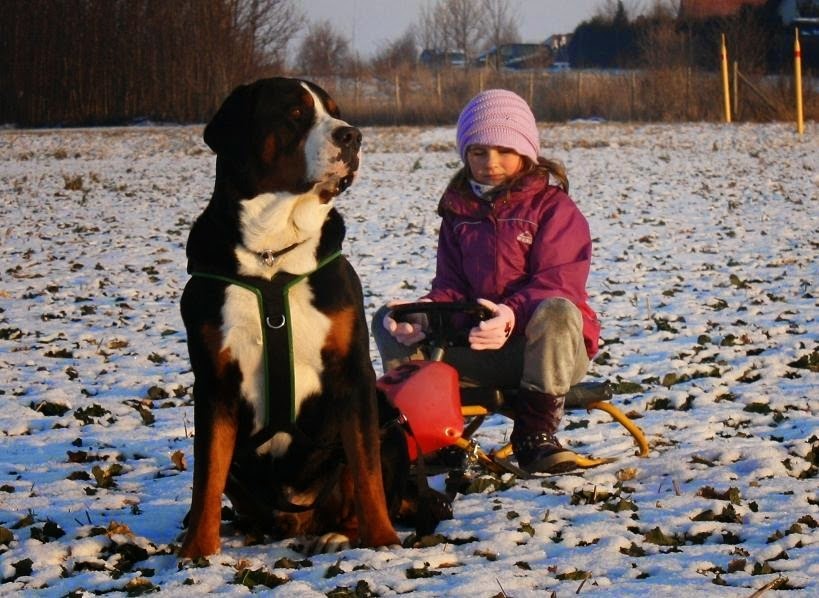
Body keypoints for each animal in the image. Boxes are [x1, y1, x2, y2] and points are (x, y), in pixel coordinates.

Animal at [182, 77, 406, 560]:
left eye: (336, 111)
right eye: (296, 114)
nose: (352, 137)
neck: (271, 255)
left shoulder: (352, 374)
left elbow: (367, 473)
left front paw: (383, 541)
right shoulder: (214, 382)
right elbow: (205, 478)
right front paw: (196, 553)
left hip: (388, 424)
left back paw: (341, 534)